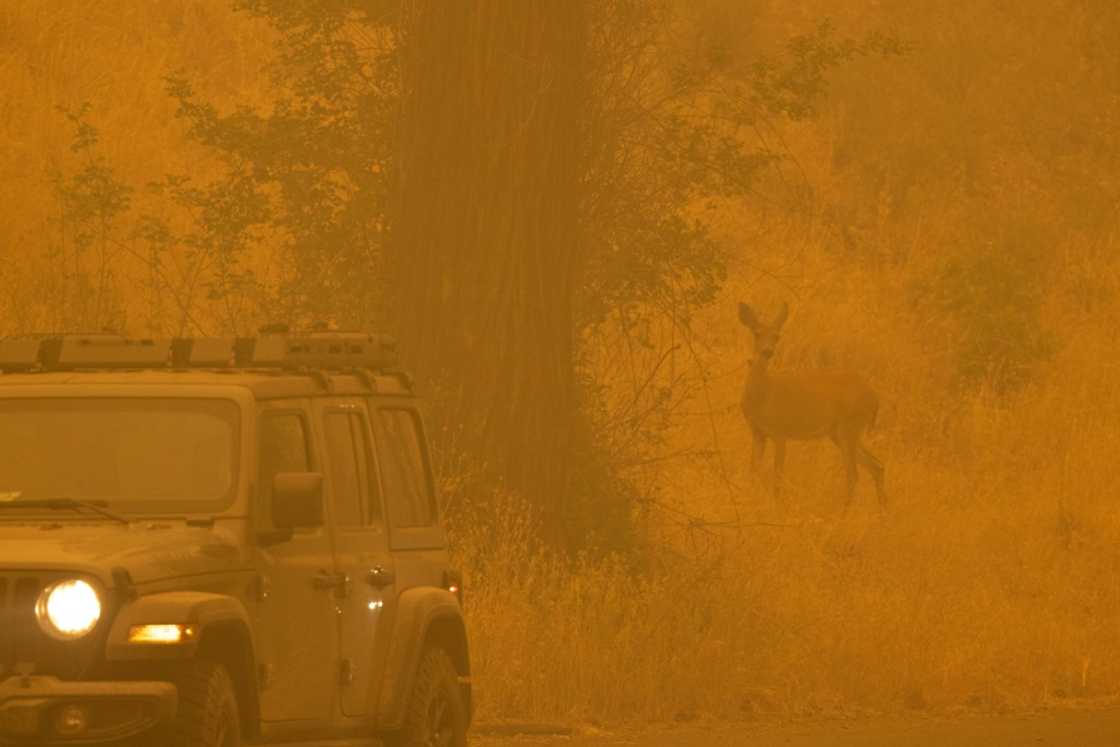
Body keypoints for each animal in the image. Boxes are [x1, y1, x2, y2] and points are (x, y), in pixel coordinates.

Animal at [738, 301, 886, 511]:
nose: (767, 351)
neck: (763, 395)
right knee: (876, 465)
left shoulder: (780, 431)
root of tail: (875, 398)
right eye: (757, 333)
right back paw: (883, 512)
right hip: (839, 433)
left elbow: (777, 476)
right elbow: (753, 471)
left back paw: (843, 513)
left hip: (849, 427)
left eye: (777, 335)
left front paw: (776, 505)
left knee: (854, 474)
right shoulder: (757, 432)